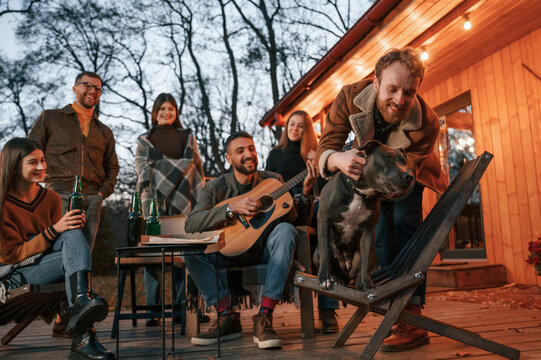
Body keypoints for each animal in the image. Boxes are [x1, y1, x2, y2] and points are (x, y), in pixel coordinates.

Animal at [312, 139, 414, 292]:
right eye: (388, 158)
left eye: (404, 162)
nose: (409, 176)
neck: (360, 192)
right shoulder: (324, 220)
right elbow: (325, 252)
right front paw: (324, 278)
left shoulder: (368, 232)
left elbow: (365, 263)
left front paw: (368, 284)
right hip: (317, 254)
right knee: (327, 258)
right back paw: (336, 279)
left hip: (366, 254)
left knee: (361, 267)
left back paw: (359, 281)